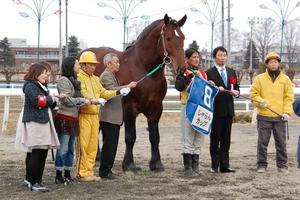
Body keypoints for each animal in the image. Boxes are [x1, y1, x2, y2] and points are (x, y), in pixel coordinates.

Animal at [83, 13, 186, 171]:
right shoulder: (129, 108)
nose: (182, 69)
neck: (144, 68)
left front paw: (156, 163)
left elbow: (155, 137)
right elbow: (130, 137)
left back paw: (97, 157)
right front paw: (129, 164)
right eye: (168, 38)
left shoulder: (156, 109)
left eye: (183, 38)